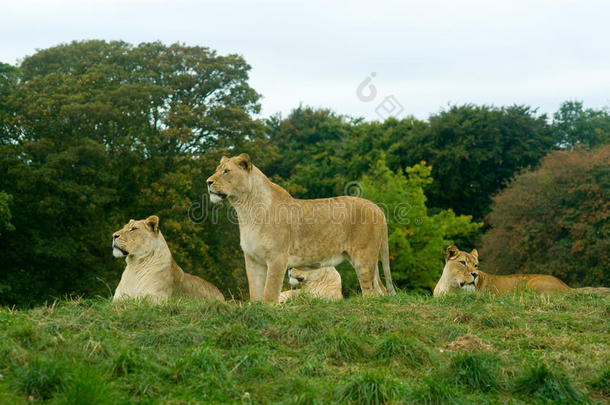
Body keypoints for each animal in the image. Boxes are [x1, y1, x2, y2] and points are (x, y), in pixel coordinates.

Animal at [205, 153, 394, 302]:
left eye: (226, 171)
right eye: (217, 169)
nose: (208, 182)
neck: (245, 209)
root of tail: (378, 208)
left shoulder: (277, 258)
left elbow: (270, 294)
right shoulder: (252, 259)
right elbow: (255, 293)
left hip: (363, 257)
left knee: (370, 292)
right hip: (369, 258)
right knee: (381, 290)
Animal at [432, 245, 608, 296]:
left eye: (476, 265)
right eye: (463, 263)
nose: (475, 274)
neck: (449, 285)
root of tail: (568, 287)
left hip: (533, 284)